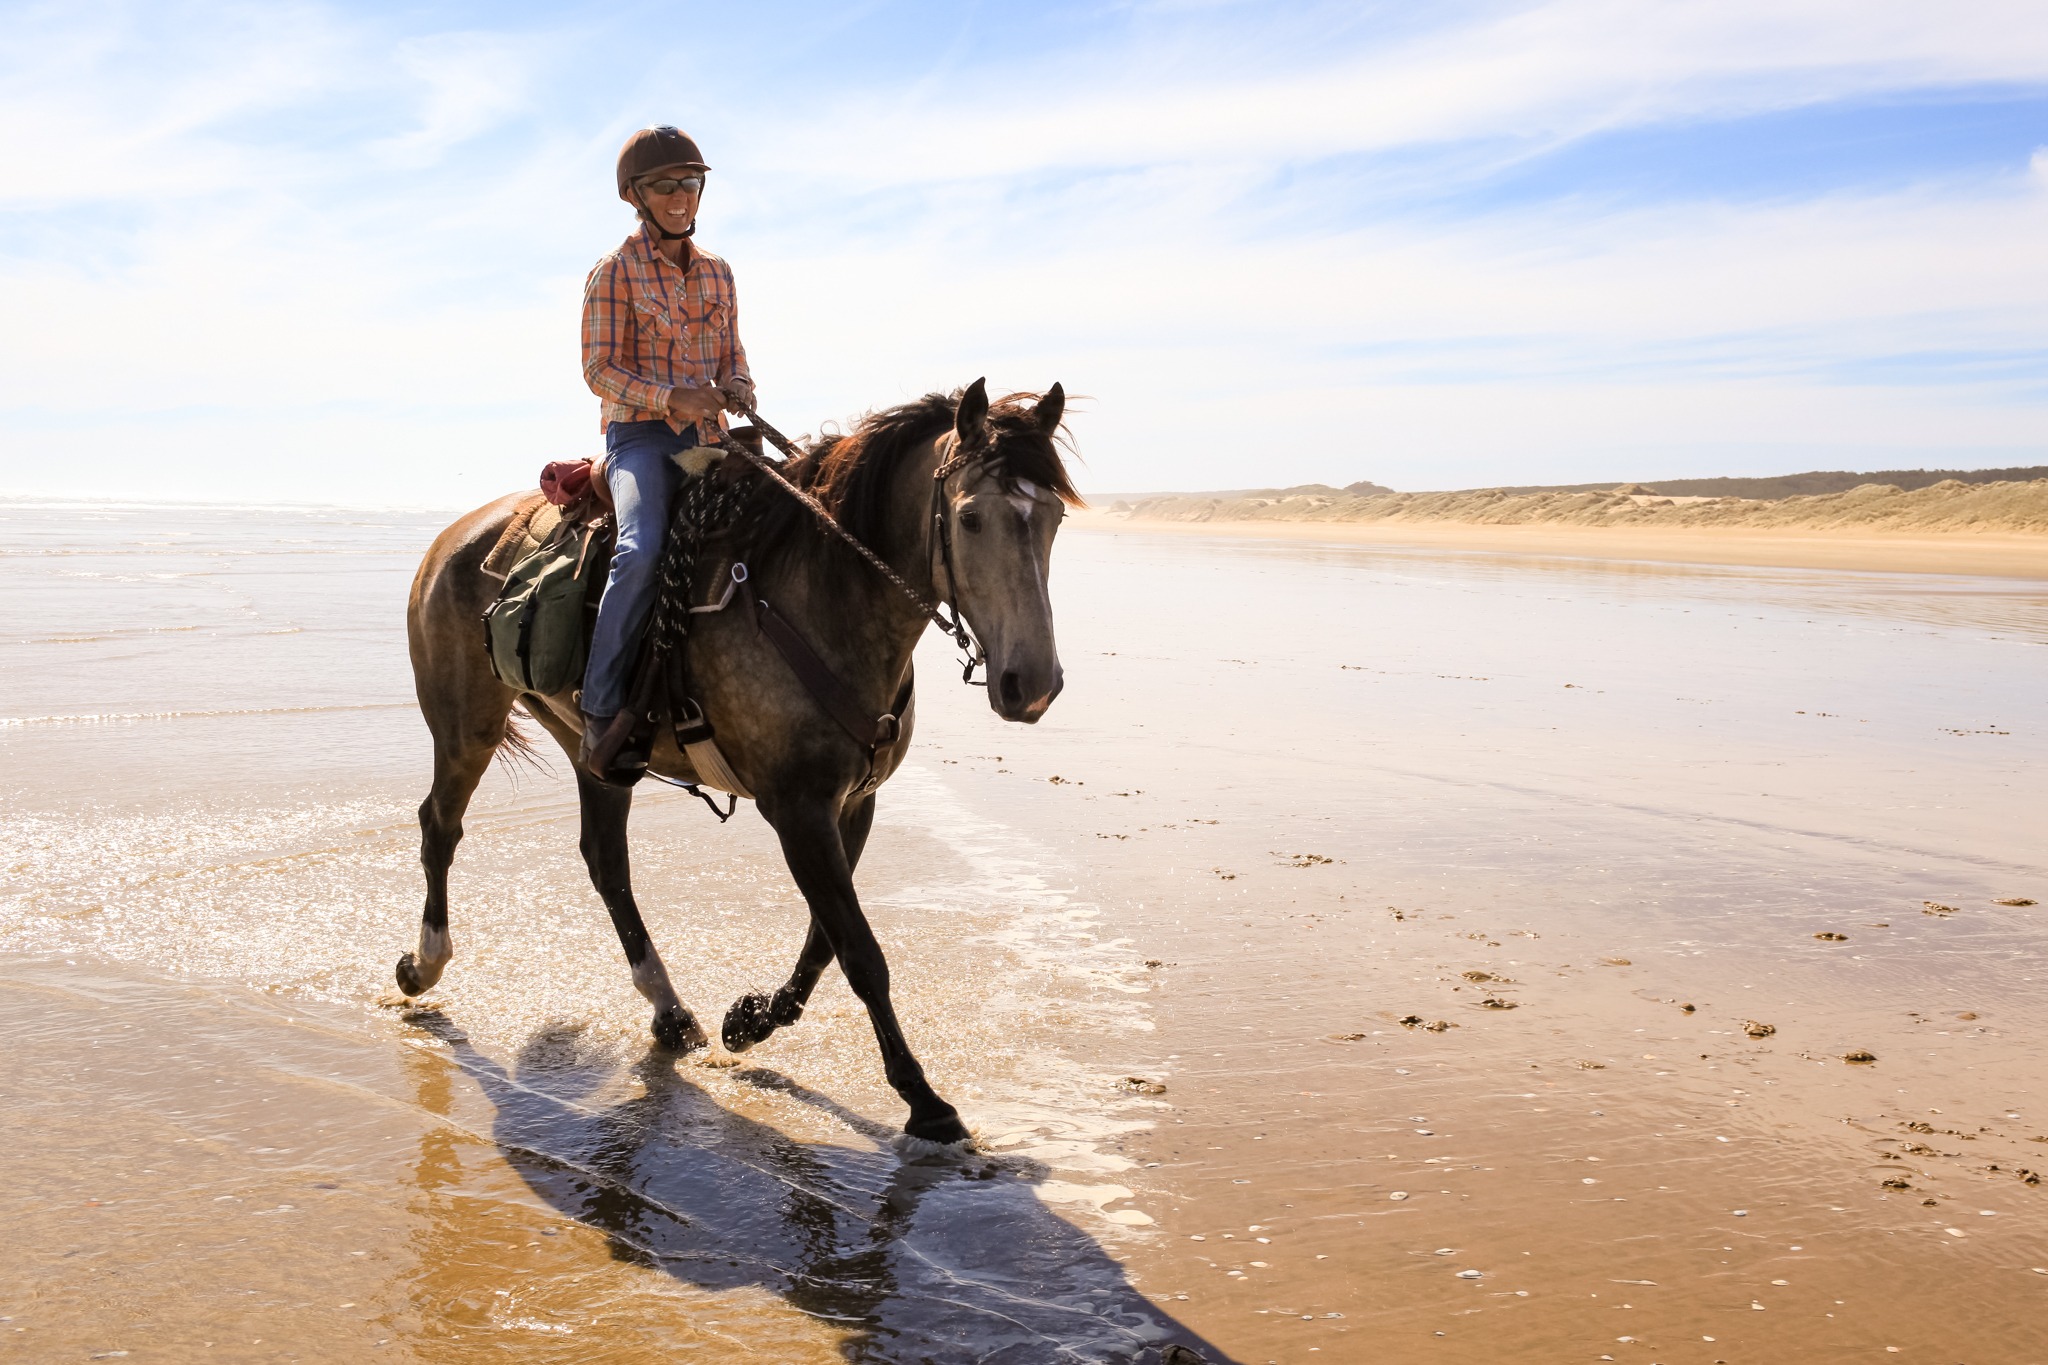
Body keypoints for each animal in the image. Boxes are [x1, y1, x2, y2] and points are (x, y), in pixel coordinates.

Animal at [398, 380, 1077, 1144]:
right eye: (969, 518)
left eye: (1051, 516)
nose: (1032, 684)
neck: (823, 595)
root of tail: (453, 536)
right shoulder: (797, 809)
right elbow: (861, 952)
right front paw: (923, 1098)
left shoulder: (854, 801)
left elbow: (824, 941)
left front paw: (751, 1020)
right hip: (465, 725)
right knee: (440, 827)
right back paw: (423, 965)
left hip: (590, 751)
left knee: (606, 862)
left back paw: (670, 1012)